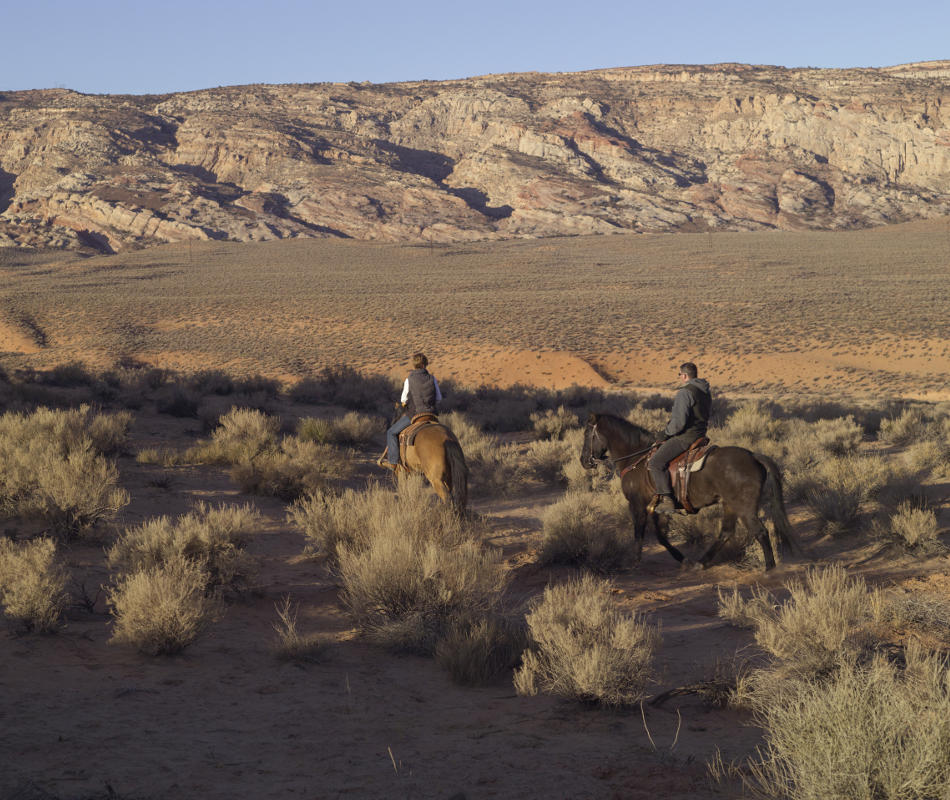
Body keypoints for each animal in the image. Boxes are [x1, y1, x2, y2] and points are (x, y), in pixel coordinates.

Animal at [584, 412, 808, 568]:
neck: (636, 459)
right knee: (726, 532)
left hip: (744, 508)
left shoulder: (637, 505)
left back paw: (770, 569)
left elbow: (639, 534)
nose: (583, 461)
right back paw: (701, 562)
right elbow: (661, 537)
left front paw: (634, 561)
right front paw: (683, 560)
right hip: (730, 505)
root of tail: (753, 455)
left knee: (760, 532)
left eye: (587, 435)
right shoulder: (657, 508)